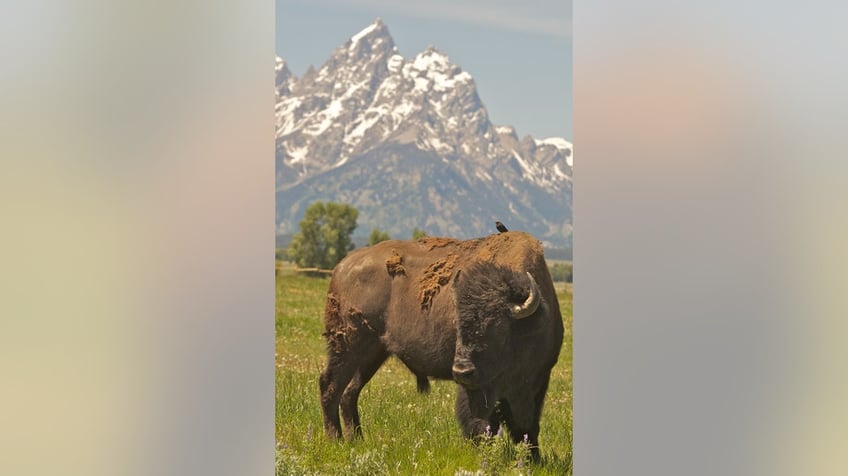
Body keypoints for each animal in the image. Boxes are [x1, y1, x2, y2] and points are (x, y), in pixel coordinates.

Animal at [318, 231, 564, 458]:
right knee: (330, 385)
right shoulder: (479, 388)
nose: (461, 370)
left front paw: (533, 458)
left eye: (499, 328)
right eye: (458, 324)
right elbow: (481, 422)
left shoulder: (537, 379)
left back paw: (357, 439)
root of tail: (342, 266)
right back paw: (335, 440)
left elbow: (528, 425)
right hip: (348, 347)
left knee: (349, 393)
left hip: (373, 354)